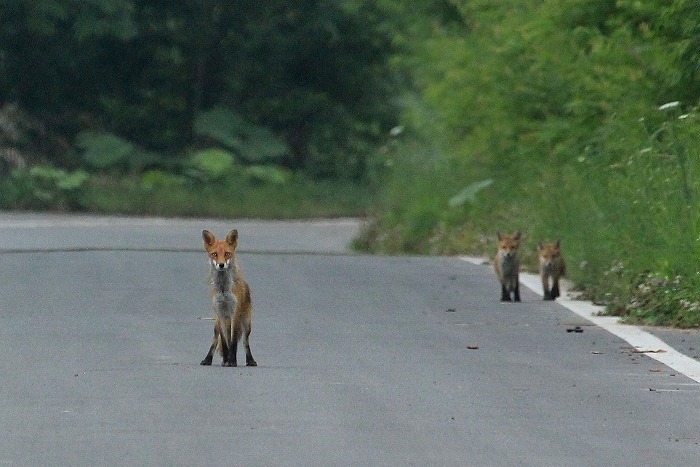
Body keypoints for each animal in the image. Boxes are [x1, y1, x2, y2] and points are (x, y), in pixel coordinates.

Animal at [200, 229, 258, 368]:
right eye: (214, 254)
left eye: (227, 254)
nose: (221, 265)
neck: (223, 290)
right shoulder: (220, 312)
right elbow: (225, 342)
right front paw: (226, 360)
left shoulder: (235, 312)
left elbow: (233, 341)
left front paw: (232, 361)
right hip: (217, 323)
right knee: (216, 339)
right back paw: (208, 359)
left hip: (246, 323)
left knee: (245, 342)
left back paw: (250, 360)